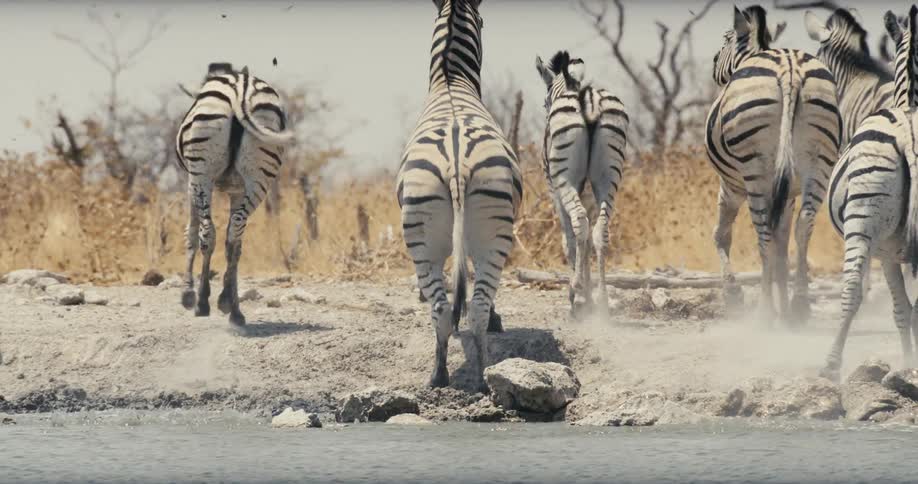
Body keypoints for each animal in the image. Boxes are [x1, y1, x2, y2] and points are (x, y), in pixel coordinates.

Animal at [175, 62, 293, 328]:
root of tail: (241, 89)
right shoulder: (237, 190)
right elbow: (234, 246)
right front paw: (228, 299)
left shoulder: (189, 183)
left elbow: (190, 232)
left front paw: (188, 293)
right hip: (260, 179)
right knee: (235, 234)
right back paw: (233, 308)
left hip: (202, 174)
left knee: (207, 232)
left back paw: (202, 302)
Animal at [396, 0, 522, 389]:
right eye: (483, 21)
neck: (450, 80)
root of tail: (456, 163)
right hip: (493, 233)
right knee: (477, 305)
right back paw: (481, 374)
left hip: (423, 233)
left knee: (440, 308)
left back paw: (440, 376)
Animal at [534, 51, 628, 316]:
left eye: (545, 102)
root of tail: (589, 98)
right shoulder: (585, 186)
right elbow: (585, 240)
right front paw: (589, 298)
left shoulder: (554, 188)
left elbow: (569, 240)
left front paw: (580, 296)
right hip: (608, 177)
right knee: (599, 228)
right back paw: (603, 298)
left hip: (563, 178)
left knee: (579, 221)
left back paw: (576, 293)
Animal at [706, 5, 841, 324]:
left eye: (726, 38)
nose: (713, 63)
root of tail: (789, 68)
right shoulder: (788, 193)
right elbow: (782, 245)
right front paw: (785, 306)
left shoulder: (730, 186)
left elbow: (722, 235)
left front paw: (734, 295)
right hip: (819, 161)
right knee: (804, 225)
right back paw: (800, 304)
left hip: (755, 169)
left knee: (762, 230)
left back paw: (764, 311)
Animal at [819, 5, 918, 382]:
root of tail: (907, 133)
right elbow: (907, 308)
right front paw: (909, 362)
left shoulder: (887, 252)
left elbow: (901, 308)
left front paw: (907, 362)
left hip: (862, 220)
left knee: (849, 291)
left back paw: (830, 365)